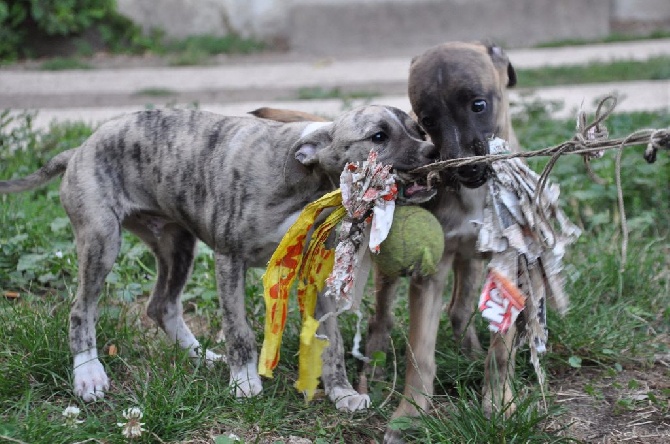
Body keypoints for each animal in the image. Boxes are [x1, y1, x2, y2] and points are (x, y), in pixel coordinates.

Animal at [0, 106, 438, 412]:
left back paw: (200, 357)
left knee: (161, 305)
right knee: (81, 310)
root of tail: (79, 149)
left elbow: (331, 342)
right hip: (102, 240)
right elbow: (238, 329)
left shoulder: (319, 276)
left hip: (177, 244)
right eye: (378, 136)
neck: (308, 185)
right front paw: (244, 381)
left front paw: (342, 393)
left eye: (418, 130)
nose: (434, 149)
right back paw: (88, 374)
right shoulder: (229, 259)